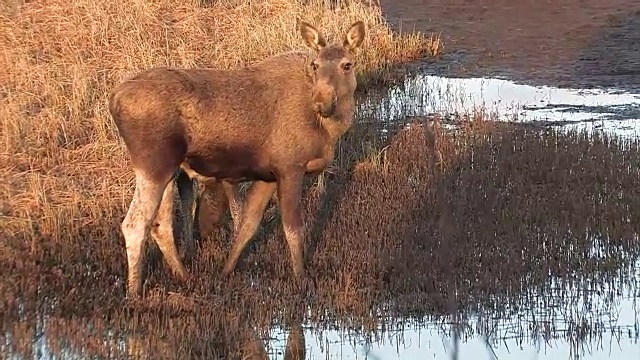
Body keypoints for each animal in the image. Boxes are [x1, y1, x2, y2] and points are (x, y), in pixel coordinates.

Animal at [109, 19, 364, 298]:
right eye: (315, 65)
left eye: (347, 65)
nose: (322, 103)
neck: (328, 131)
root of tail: (113, 100)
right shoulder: (290, 168)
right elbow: (293, 229)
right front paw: (301, 279)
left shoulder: (268, 176)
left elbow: (247, 226)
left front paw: (225, 271)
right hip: (152, 165)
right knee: (134, 224)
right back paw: (135, 292)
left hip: (168, 170)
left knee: (160, 225)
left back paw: (184, 276)